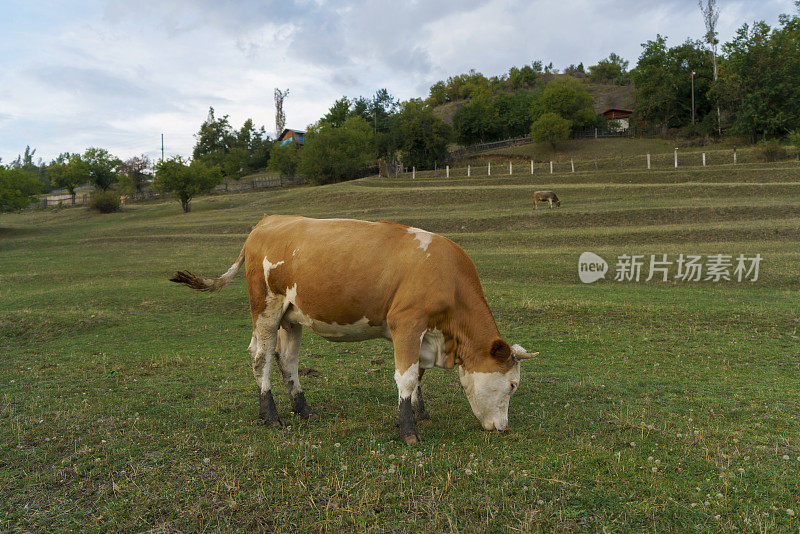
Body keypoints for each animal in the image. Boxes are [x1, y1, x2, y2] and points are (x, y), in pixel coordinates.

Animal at [174, 214, 536, 444]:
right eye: (513, 385)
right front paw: (408, 430)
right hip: (266, 306)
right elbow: (406, 377)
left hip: (291, 316)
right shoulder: (407, 323)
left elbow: (418, 374)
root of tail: (267, 221)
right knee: (260, 357)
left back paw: (303, 409)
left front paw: (421, 413)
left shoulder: (423, 333)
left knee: (287, 360)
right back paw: (271, 415)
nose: (503, 428)